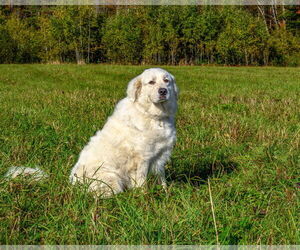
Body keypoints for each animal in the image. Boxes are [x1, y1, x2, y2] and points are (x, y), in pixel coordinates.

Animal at [5, 68, 178, 197]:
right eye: (151, 82)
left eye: (166, 80)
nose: (163, 91)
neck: (155, 116)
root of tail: (70, 183)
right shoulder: (142, 159)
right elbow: (142, 184)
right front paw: (145, 198)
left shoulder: (160, 157)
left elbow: (162, 179)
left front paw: (166, 193)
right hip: (111, 179)